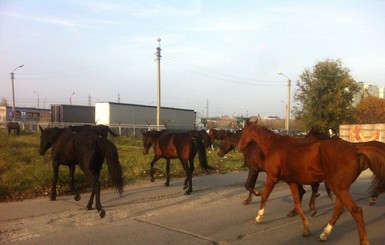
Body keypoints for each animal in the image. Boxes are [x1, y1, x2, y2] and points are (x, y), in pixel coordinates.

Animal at [237, 120, 384, 245]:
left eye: (243, 132)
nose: (239, 147)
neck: (275, 147)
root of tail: (355, 150)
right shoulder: (291, 182)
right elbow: (297, 203)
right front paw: (306, 228)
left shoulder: (272, 177)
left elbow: (265, 196)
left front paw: (259, 217)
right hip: (340, 188)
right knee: (338, 209)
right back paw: (324, 234)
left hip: (339, 189)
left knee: (356, 211)